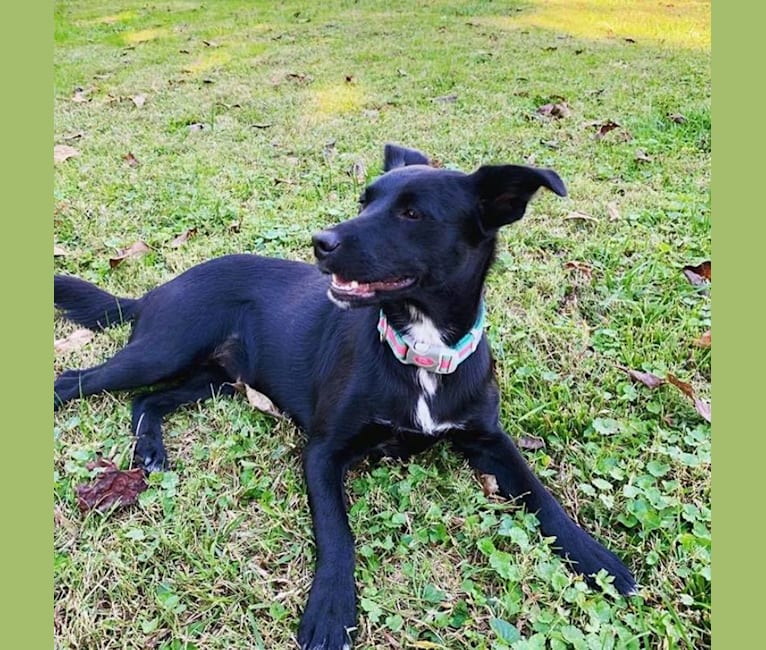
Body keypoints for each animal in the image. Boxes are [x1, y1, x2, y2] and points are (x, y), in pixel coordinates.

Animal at [54, 144, 640, 644]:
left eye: (412, 214)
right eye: (365, 201)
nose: (321, 242)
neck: (421, 353)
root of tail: (156, 289)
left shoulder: (489, 438)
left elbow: (543, 497)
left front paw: (598, 560)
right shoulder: (323, 451)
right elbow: (338, 533)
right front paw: (332, 610)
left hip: (217, 378)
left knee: (147, 400)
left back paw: (152, 450)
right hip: (164, 349)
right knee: (76, 381)